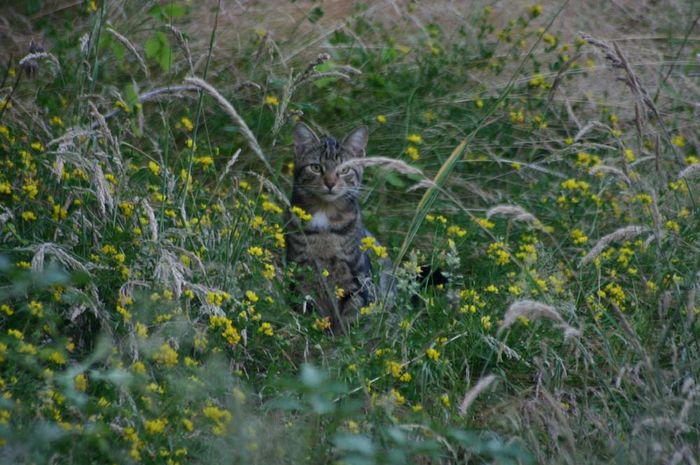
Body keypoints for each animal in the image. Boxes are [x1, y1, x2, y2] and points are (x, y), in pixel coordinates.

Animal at [284, 121, 394, 332]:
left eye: (344, 170)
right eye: (316, 167)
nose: (330, 183)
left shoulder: (356, 278)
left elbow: (352, 315)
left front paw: (344, 337)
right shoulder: (301, 273)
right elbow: (308, 310)